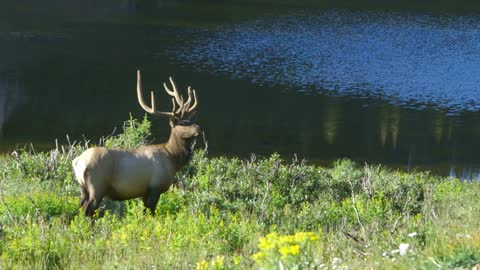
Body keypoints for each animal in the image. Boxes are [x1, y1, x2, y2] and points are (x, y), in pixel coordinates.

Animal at [71, 70, 201, 217]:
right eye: (182, 123)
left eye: (190, 120)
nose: (198, 128)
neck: (172, 159)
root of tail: (77, 162)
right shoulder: (155, 187)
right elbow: (151, 212)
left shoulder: (144, 191)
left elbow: (144, 212)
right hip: (97, 185)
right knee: (88, 210)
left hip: (83, 188)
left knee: (81, 207)